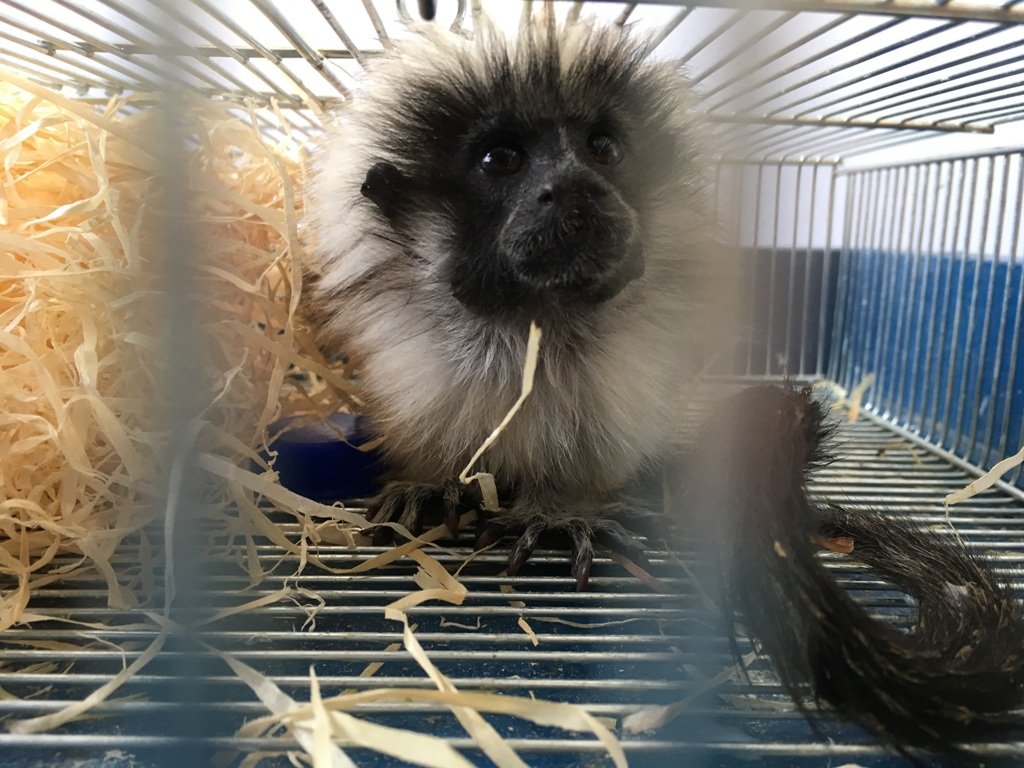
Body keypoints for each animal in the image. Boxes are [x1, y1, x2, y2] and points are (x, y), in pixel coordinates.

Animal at [303, 13, 1024, 757]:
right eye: (500, 160)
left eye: (603, 148)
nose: (577, 185)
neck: (538, 327)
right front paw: (430, 482)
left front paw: (561, 509)